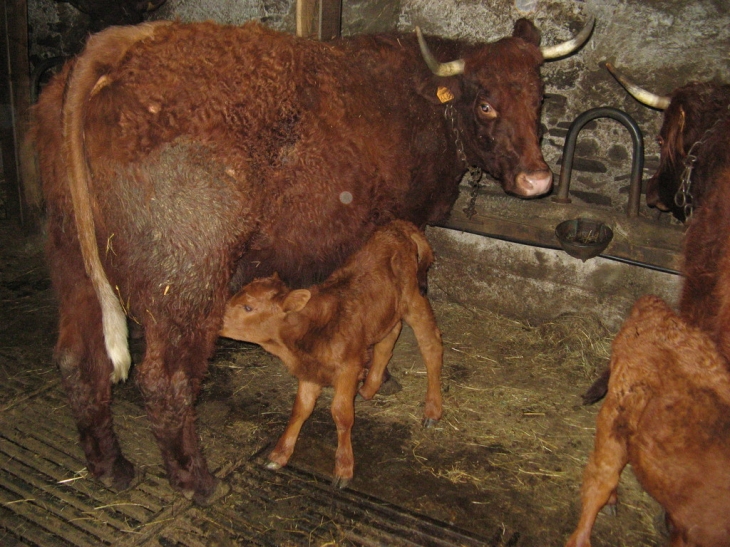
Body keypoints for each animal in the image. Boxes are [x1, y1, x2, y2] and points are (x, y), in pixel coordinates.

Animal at [219, 220, 440, 490]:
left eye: (249, 307)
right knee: (389, 338)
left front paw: (344, 468)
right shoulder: (310, 371)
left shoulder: (348, 368)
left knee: (431, 345)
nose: (215, 320)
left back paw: (432, 410)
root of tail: (399, 226)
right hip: (387, 310)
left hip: (415, 299)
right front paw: (280, 455)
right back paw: (369, 387)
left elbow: (341, 414)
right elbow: (300, 409)